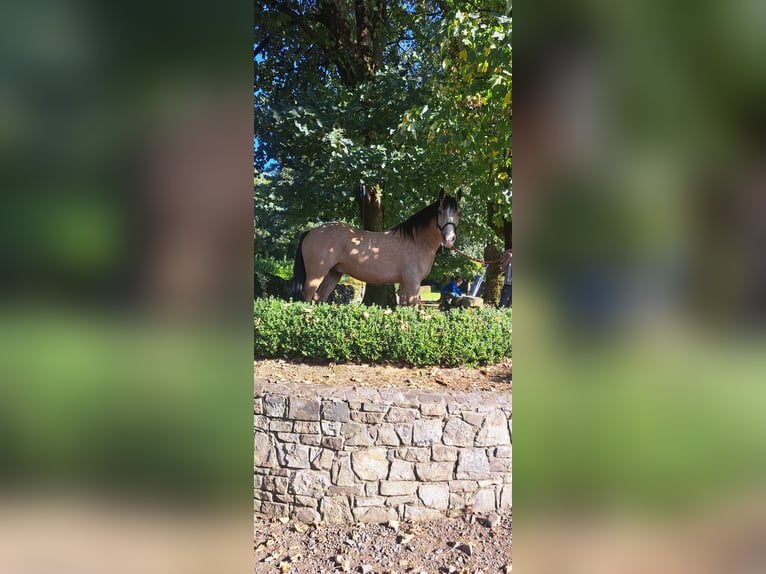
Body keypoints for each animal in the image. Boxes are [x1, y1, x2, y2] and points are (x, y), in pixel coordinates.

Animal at [292, 189, 462, 306]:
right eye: (440, 211)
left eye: (458, 212)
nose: (448, 239)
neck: (417, 241)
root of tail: (311, 231)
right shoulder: (413, 282)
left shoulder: (404, 283)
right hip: (316, 274)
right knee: (307, 297)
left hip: (333, 274)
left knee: (319, 298)